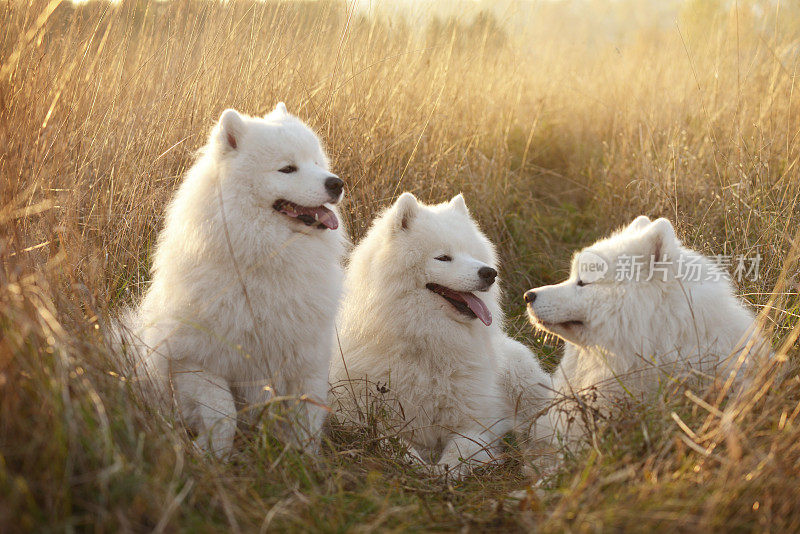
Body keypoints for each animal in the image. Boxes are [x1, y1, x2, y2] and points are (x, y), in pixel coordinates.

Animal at [119, 103, 346, 456]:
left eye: (317, 164)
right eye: (287, 169)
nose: (336, 183)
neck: (266, 261)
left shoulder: (306, 361)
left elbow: (307, 420)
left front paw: (304, 461)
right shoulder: (195, 361)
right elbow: (223, 414)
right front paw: (211, 454)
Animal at [326, 194, 552, 478]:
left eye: (472, 255)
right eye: (443, 258)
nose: (489, 273)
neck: (428, 342)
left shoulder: (475, 424)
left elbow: (456, 458)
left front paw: (443, 472)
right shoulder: (358, 417)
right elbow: (396, 447)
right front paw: (421, 467)